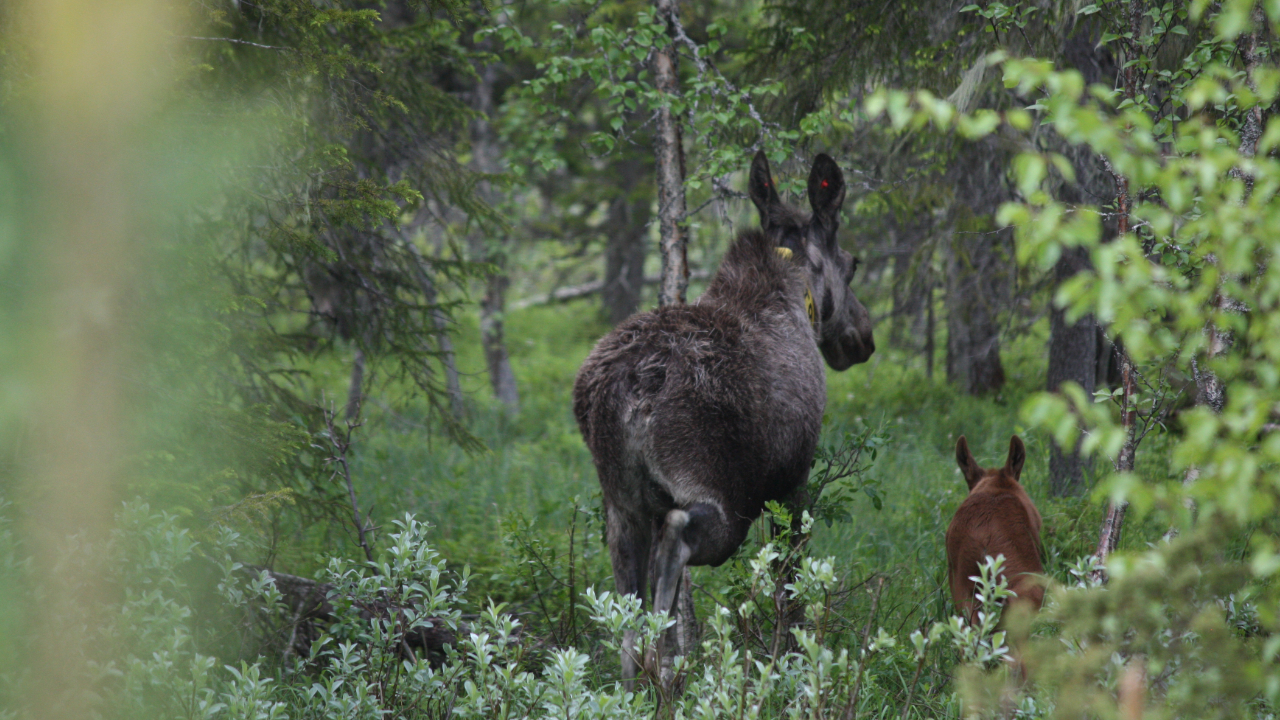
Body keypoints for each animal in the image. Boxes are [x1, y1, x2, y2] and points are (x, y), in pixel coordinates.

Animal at [573, 151, 875, 683]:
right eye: (852, 265)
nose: (864, 335)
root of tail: (622, 390)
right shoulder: (793, 478)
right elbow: (789, 586)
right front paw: (793, 666)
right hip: (718, 495)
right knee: (675, 541)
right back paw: (668, 671)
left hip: (622, 506)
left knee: (627, 612)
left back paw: (641, 681)